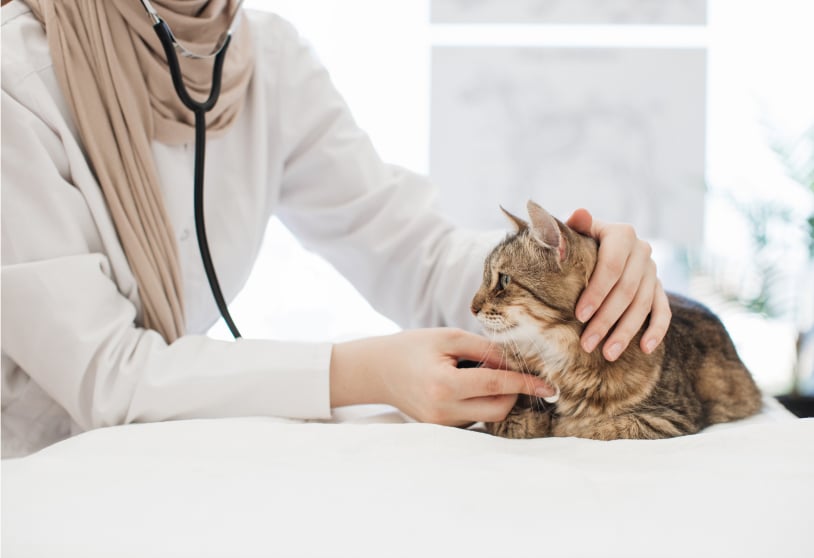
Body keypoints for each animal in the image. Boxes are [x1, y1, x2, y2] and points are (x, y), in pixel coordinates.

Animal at [472, 201, 764, 442]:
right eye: (484, 278)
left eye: (504, 281)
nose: (471, 308)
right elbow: (505, 421)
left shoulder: (668, 418)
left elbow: (585, 428)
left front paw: (557, 423)